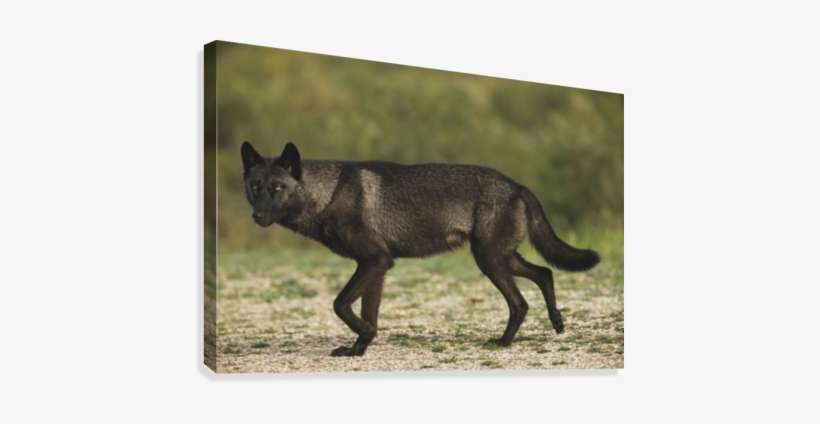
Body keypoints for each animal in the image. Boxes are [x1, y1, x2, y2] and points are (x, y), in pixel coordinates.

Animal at [241, 141, 599, 356]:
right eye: (255, 187)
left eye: (277, 188)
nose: (256, 216)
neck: (328, 194)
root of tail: (516, 185)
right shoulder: (377, 268)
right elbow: (366, 311)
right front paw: (359, 348)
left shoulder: (374, 261)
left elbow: (341, 305)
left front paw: (364, 336)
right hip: (501, 258)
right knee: (545, 273)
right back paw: (557, 323)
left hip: (491, 261)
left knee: (521, 302)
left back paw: (502, 343)